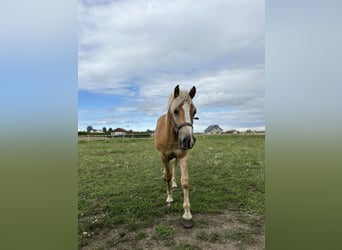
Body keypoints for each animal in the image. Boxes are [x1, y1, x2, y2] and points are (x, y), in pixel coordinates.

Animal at [154, 84, 196, 229]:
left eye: (194, 112)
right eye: (176, 111)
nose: (189, 140)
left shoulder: (183, 156)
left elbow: (185, 182)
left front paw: (187, 215)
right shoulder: (162, 156)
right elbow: (167, 176)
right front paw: (169, 199)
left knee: (173, 166)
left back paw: (173, 183)